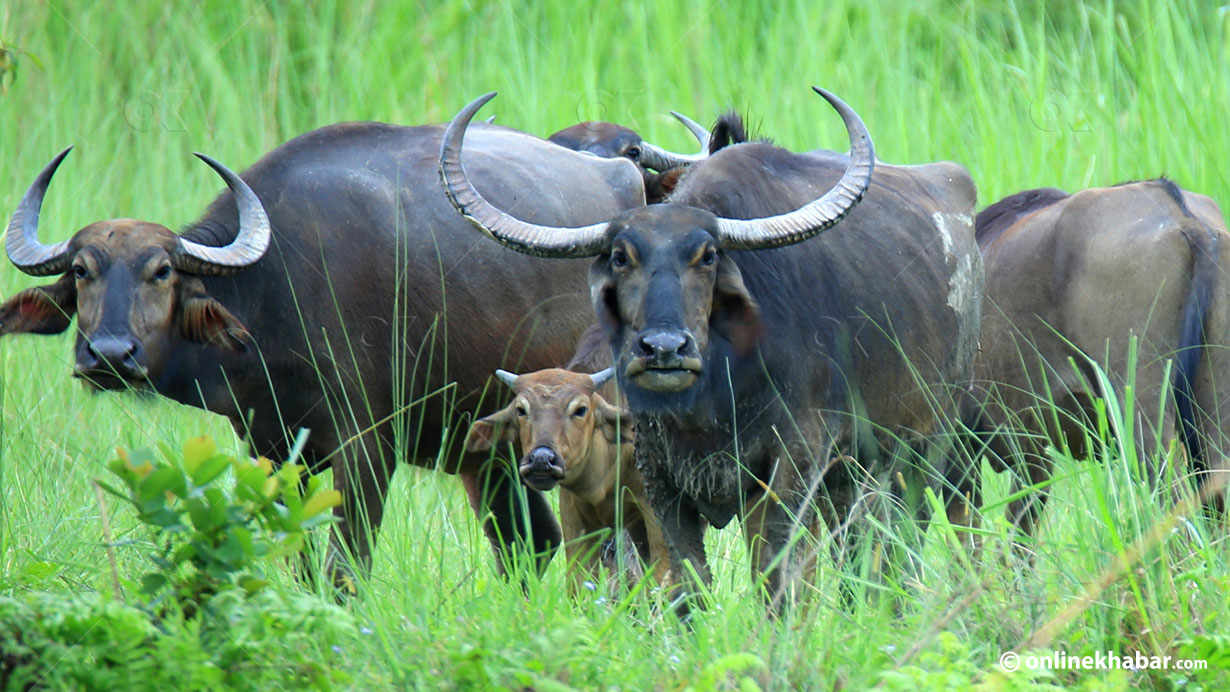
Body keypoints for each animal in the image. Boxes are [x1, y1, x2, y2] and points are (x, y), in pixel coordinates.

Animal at [0, 119, 649, 580]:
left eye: (161, 271)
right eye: (81, 271)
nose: (110, 354)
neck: (272, 294)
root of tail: (622, 181)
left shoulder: (367, 445)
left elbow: (345, 566)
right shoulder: (269, 444)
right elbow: (300, 561)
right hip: (492, 455)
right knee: (530, 546)